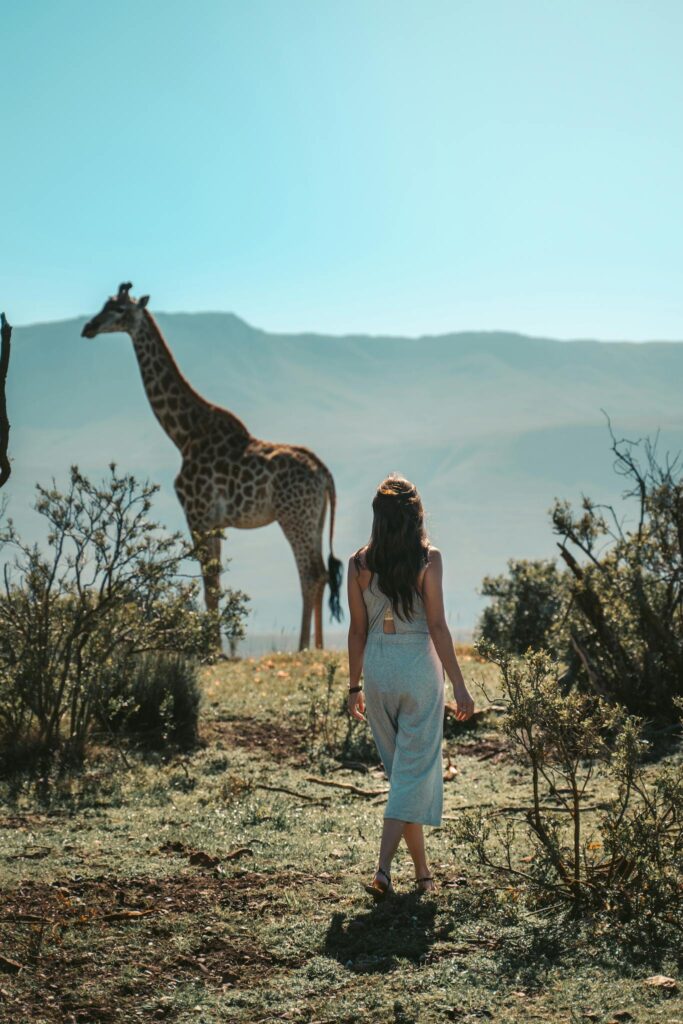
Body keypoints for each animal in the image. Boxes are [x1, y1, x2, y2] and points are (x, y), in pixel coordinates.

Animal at [81, 282, 344, 647]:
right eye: (104, 305)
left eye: (120, 310)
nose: (88, 327)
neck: (183, 434)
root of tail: (324, 473)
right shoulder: (217, 521)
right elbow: (216, 583)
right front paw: (214, 647)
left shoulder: (197, 513)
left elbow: (210, 585)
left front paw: (211, 650)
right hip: (315, 518)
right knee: (321, 573)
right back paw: (318, 646)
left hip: (294, 516)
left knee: (311, 573)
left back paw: (303, 647)